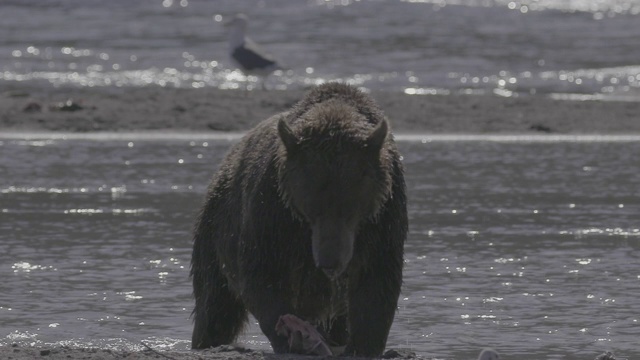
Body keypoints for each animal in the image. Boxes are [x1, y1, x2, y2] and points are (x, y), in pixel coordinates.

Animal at [191, 83, 410, 356]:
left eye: (350, 211)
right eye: (312, 210)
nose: (329, 262)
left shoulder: (384, 217)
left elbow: (376, 283)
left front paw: (363, 345)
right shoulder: (273, 210)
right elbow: (262, 273)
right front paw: (291, 335)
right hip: (214, 233)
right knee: (214, 306)